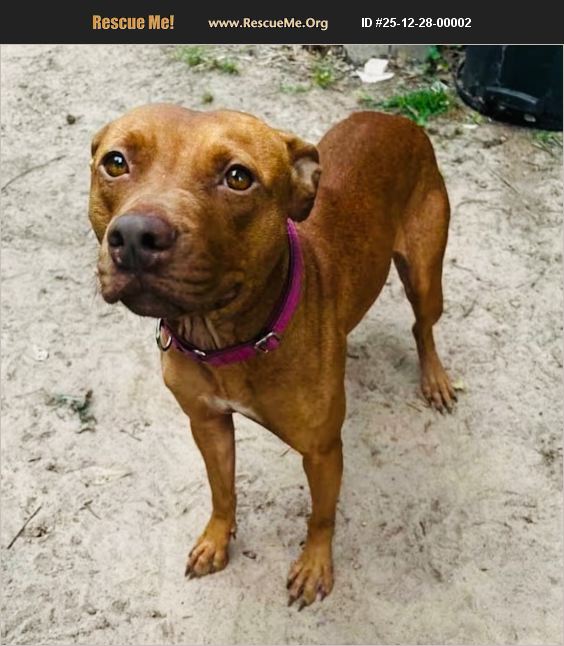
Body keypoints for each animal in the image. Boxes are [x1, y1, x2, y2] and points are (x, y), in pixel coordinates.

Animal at [89, 104, 455, 609]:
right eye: (116, 162)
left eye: (238, 177)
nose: (135, 234)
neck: (227, 340)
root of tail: (396, 118)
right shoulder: (208, 423)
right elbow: (222, 490)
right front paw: (216, 540)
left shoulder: (322, 452)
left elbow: (321, 515)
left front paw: (315, 566)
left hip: (424, 274)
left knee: (424, 326)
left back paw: (435, 379)